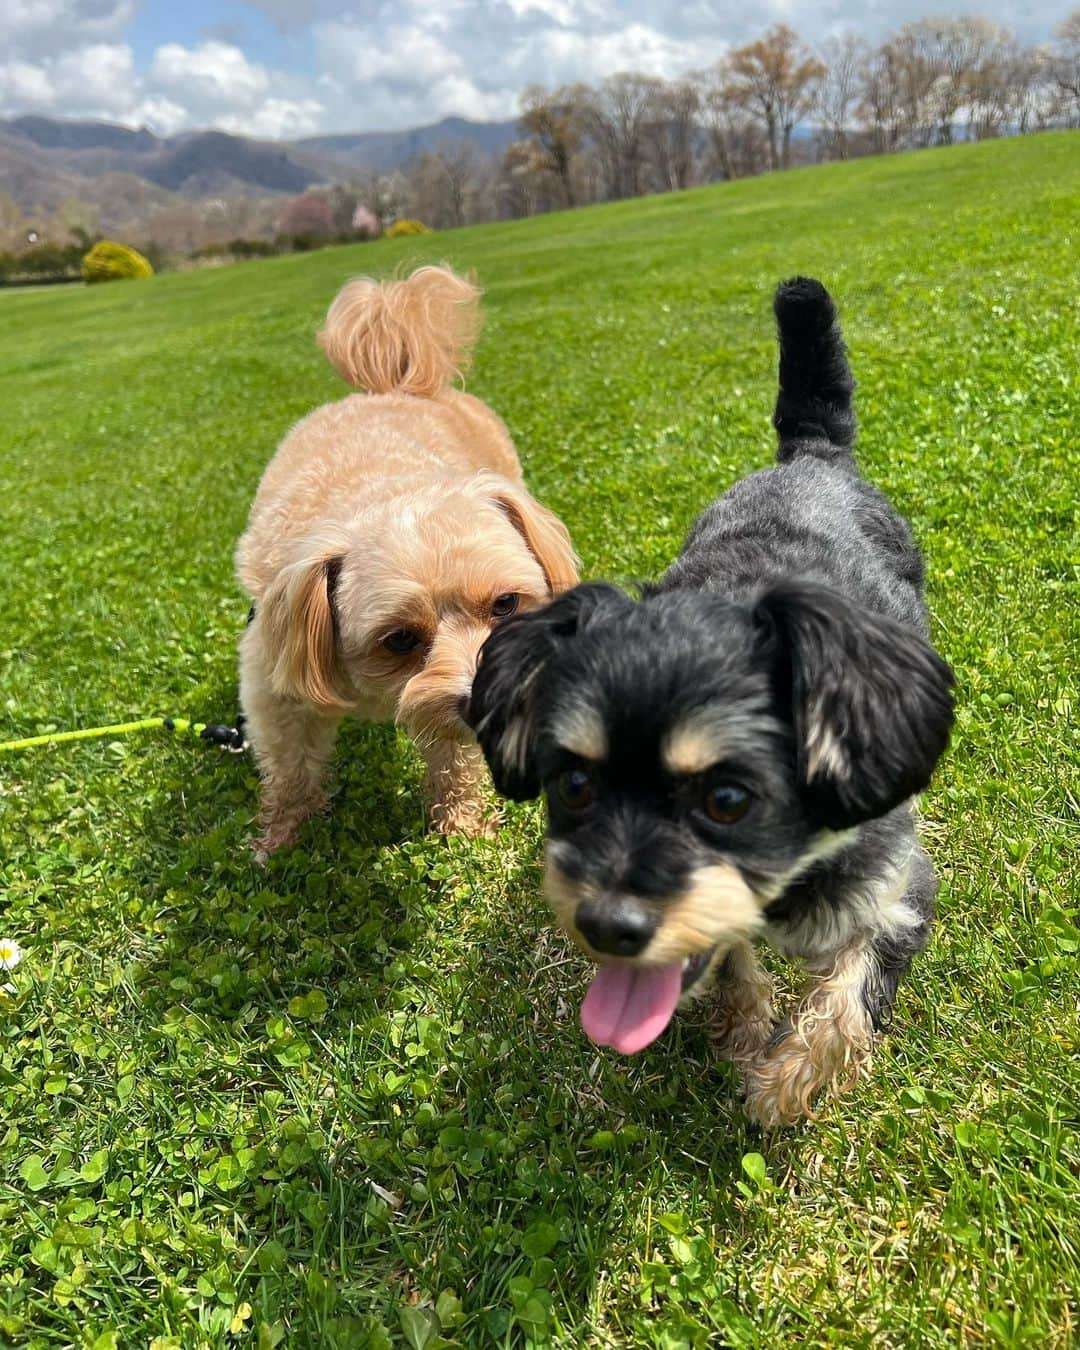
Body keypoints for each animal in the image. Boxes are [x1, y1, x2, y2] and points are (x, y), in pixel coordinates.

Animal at [233, 265, 577, 853]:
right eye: (398, 639)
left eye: (506, 604)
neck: (381, 489)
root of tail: (393, 385)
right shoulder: (276, 675)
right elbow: (290, 766)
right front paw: (282, 840)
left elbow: (453, 758)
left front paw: (460, 827)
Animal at [464, 276, 955, 1128]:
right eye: (574, 785)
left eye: (729, 800)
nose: (608, 927)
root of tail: (809, 455)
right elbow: (728, 959)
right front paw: (747, 1028)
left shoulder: (895, 883)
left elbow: (850, 995)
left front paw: (786, 1082)